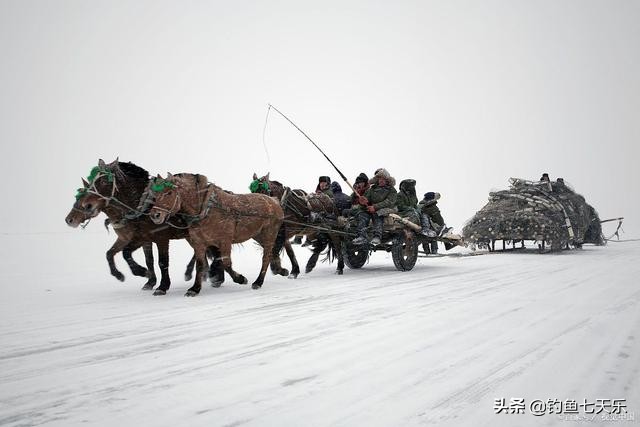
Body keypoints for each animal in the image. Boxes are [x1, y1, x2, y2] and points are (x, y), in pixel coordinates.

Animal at [148, 172, 284, 296]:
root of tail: (274, 201)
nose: (155, 215)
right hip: (258, 235)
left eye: (169, 193)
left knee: (266, 257)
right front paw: (195, 288)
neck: (207, 210)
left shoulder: (224, 241)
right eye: (156, 194)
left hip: (269, 234)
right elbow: (201, 264)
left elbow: (226, 264)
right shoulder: (198, 243)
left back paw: (258, 281)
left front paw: (240, 278)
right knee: (272, 253)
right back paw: (279, 270)